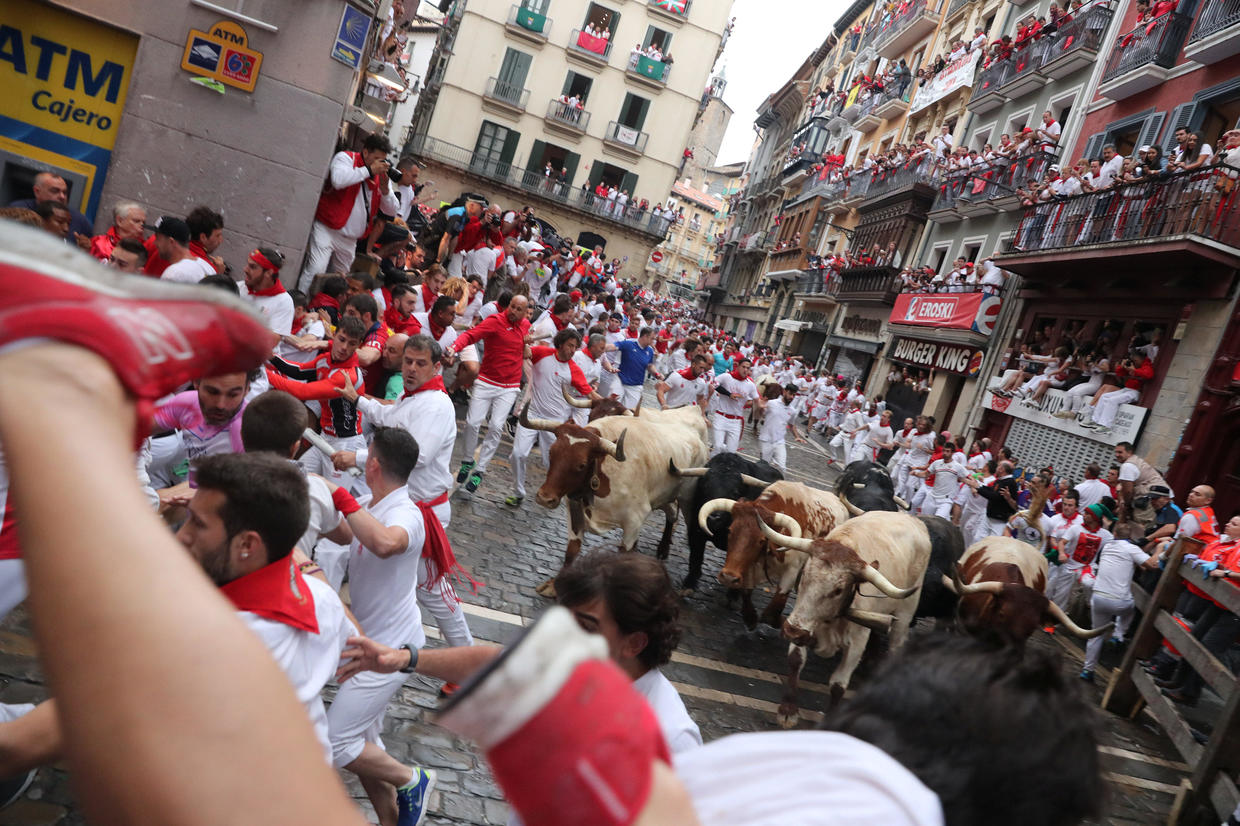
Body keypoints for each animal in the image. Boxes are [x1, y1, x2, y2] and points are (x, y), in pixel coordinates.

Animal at [518, 399, 709, 592]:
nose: (544, 498)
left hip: (688, 499)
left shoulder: (634, 520)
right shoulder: (573, 509)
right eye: (551, 452)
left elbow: (622, 557)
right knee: (671, 511)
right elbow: (572, 549)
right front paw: (555, 585)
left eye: (581, 464)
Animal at [664, 451, 778, 592]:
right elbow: (695, 558)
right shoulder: (695, 532)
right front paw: (689, 583)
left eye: (735, 492)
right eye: (705, 486)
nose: (713, 517)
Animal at [699, 478, 853, 627]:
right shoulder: (750, 566)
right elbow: (746, 593)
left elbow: (772, 610)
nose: (728, 577)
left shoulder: (792, 569)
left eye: (761, 540)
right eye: (730, 531)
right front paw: (751, 618)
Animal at [753, 510, 932, 724]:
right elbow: (796, 660)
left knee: (897, 643)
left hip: (905, 614)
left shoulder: (856, 642)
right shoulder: (802, 619)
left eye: (838, 590)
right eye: (804, 575)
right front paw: (787, 709)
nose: (790, 631)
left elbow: (838, 685)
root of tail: (913, 518)